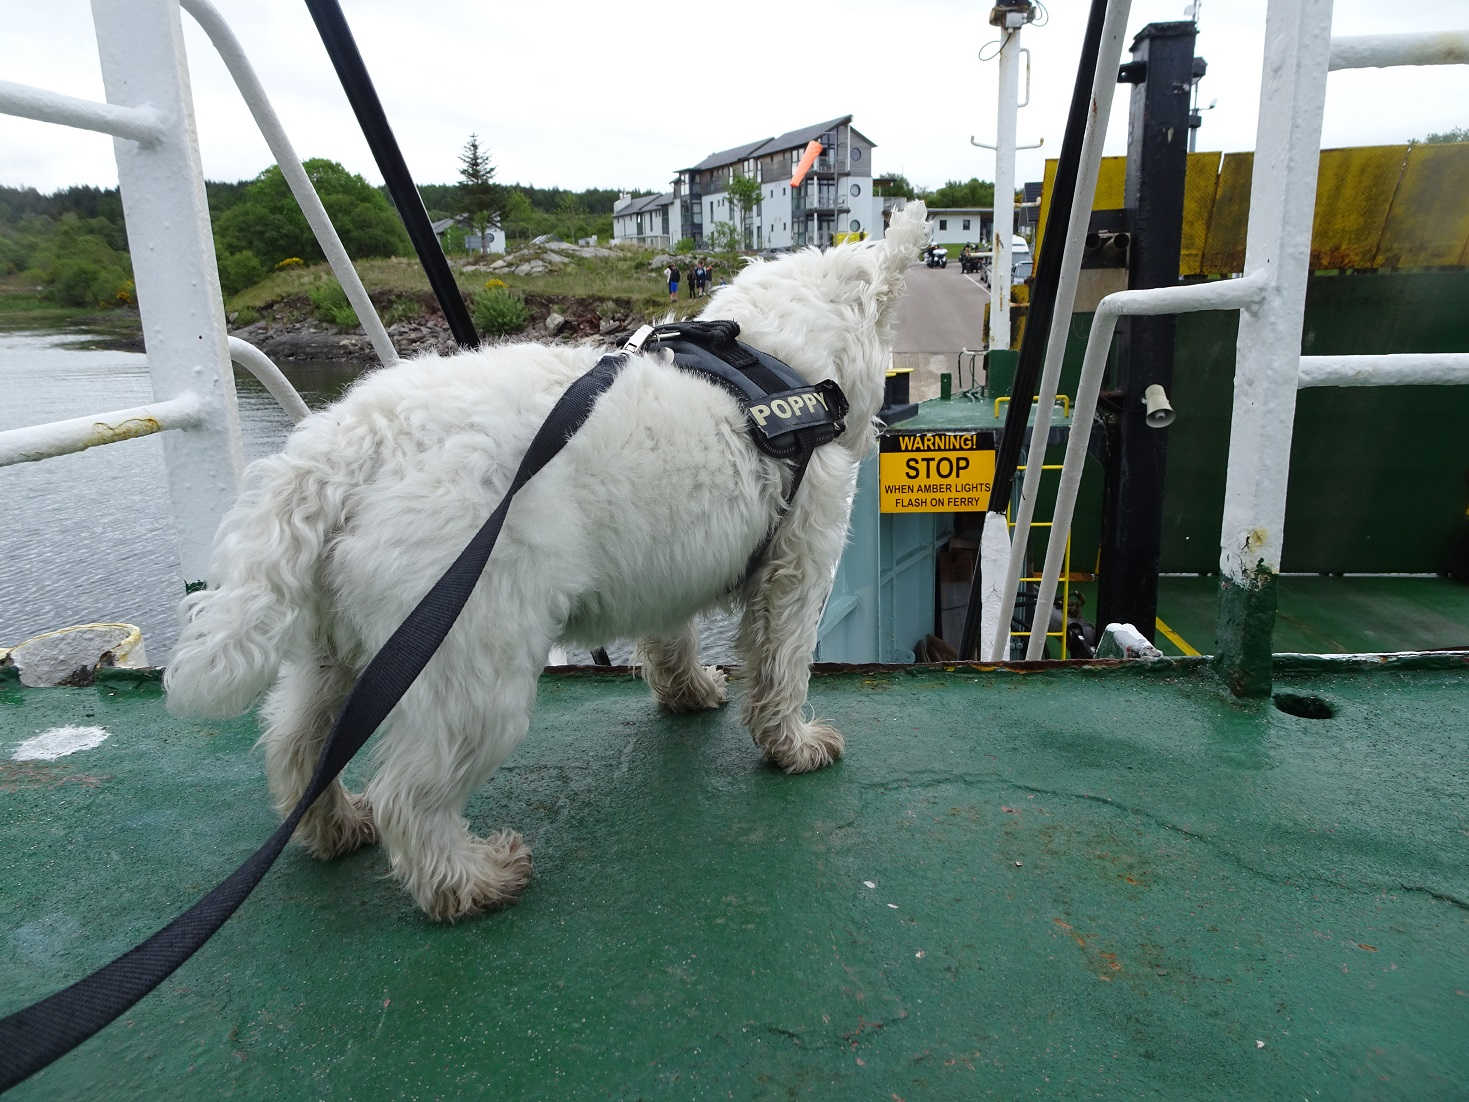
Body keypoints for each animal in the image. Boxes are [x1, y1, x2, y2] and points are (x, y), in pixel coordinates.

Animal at [166, 201, 922, 922]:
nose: (881, 421)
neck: (773, 358)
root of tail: (348, 444)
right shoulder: (797, 568)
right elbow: (781, 666)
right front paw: (793, 746)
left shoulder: (668, 570)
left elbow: (670, 642)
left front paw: (689, 693)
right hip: (473, 664)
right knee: (409, 793)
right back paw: (469, 882)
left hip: (341, 653)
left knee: (296, 747)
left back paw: (336, 827)